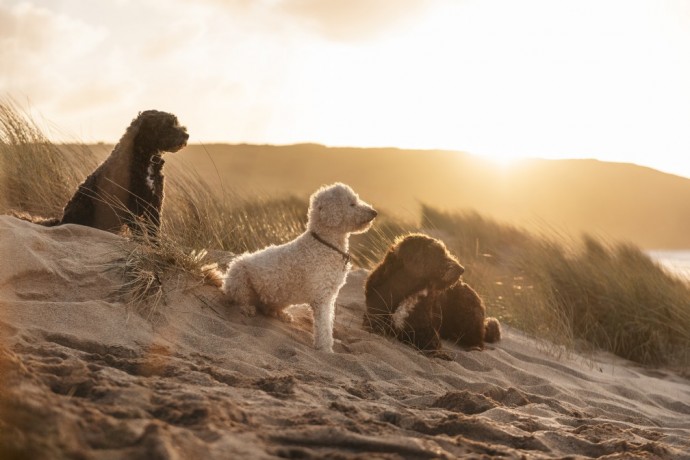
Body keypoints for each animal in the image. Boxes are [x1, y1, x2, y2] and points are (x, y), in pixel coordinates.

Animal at [219, 183, 376, 352]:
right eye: (352, 204)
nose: (375, 213)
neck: (325, 244)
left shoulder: (330, 296)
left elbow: (328, 323)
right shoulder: (321, 297)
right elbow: (324, 326)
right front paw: (325, 349)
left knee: (268, 309)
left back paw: (282, 314)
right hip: (239, 276)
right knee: (239, 299)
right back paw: (247, 308)